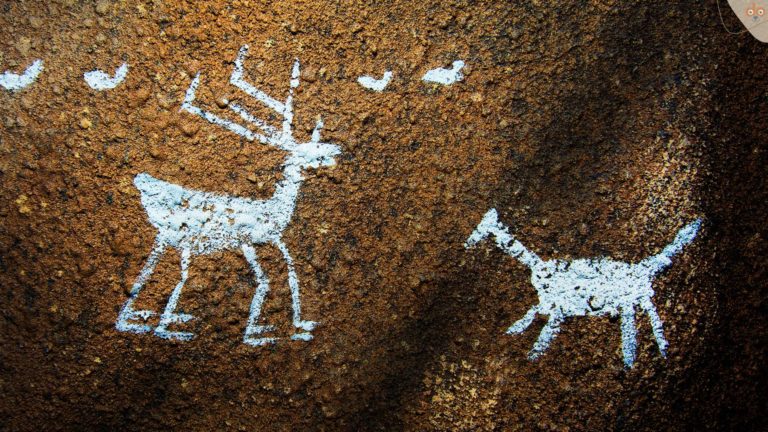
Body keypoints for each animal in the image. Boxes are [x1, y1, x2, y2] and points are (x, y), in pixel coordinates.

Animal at [115, 45, 340, 346]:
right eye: (309, 152)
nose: (335, 151)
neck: (271, 209)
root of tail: (145, 183)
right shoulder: (248, 241)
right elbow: (266, 279)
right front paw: (256, 331)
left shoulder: (272, 240)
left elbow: (288, 270)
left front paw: (298, 325)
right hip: (179, 238)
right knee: (172, 276)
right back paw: (165, 326)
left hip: (169, 240)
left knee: (152, 273)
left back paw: (154, 319)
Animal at [465, 208, 702, 367]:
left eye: (481, 227)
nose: (467, 243)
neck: (537, 265)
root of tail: (645, 267)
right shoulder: (548, 304)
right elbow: (531, 317)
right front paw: (514, 331)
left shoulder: (556, 308)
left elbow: (543, 332)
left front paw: (531, 351)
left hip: (634, 300)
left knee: (645, 322)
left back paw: (640, 354)